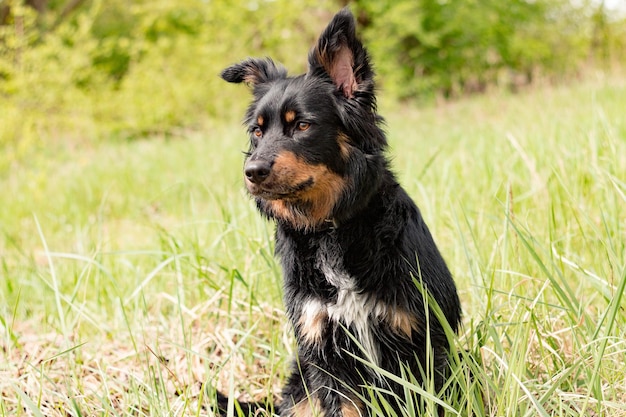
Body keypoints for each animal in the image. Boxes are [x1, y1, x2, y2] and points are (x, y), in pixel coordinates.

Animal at [217, 7, 460, 416]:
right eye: (257, 132)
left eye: (302, 125)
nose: (252, 171)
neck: (331, 231)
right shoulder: (324, 351)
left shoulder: (421, 341)